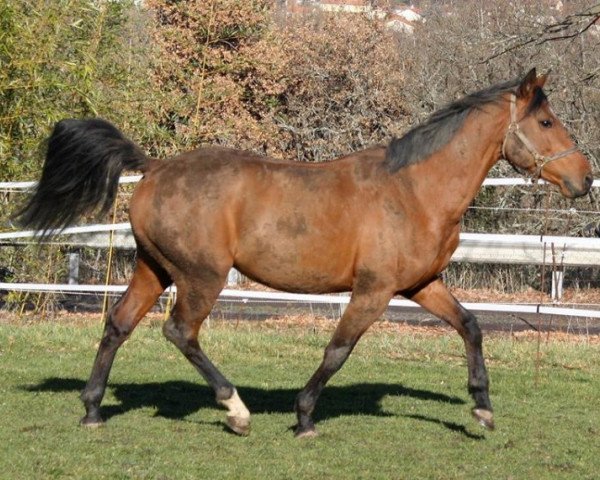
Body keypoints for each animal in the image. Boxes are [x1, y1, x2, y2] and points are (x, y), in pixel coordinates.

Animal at [16, 69, 592, 436]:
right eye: (545, 123)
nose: (585, 178)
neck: (414, 190)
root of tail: (155, 167)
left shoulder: (421, 284)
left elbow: (470, 326)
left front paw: (483, 409)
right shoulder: (374, 291)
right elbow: (338, 350)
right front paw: (305, 417)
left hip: (154, 268)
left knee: (118, 323)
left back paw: (92, 410)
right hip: (202, 276)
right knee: (179, 331)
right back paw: (236, 411)